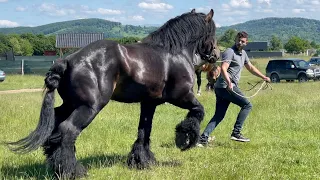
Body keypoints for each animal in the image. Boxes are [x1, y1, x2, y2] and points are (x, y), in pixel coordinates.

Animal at [6, 8, 218, 179]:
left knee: (56, 126)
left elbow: (144, 131)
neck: (173, 53)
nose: (215, 55)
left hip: (70, 105)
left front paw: (142, 161)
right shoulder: (182, 97)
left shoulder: (148, 104)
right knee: (67, 130)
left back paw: (56, 166)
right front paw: (184, 139)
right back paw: (73, 171)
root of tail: (67, 60)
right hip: (89, 107)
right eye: (213, 31)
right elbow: (199, 111)